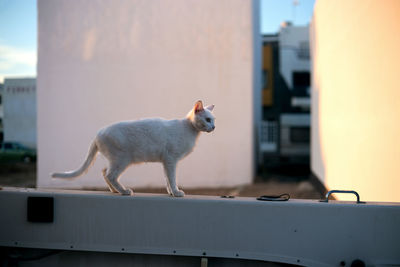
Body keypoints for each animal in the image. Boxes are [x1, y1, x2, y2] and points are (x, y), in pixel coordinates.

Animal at [53, 100, 217, 197]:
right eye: (207, 120)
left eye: (214, 120)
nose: (214, 127)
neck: (190, 129)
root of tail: (98, 133)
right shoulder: (171, 160)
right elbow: (172, 178)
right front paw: (176, 192)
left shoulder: (166, 162)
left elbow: (167, 179)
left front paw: (171, 192)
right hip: (122, 160)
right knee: (110, 175)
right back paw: (124, 191)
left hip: (116, 160)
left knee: (105, 172)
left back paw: (114, 190)